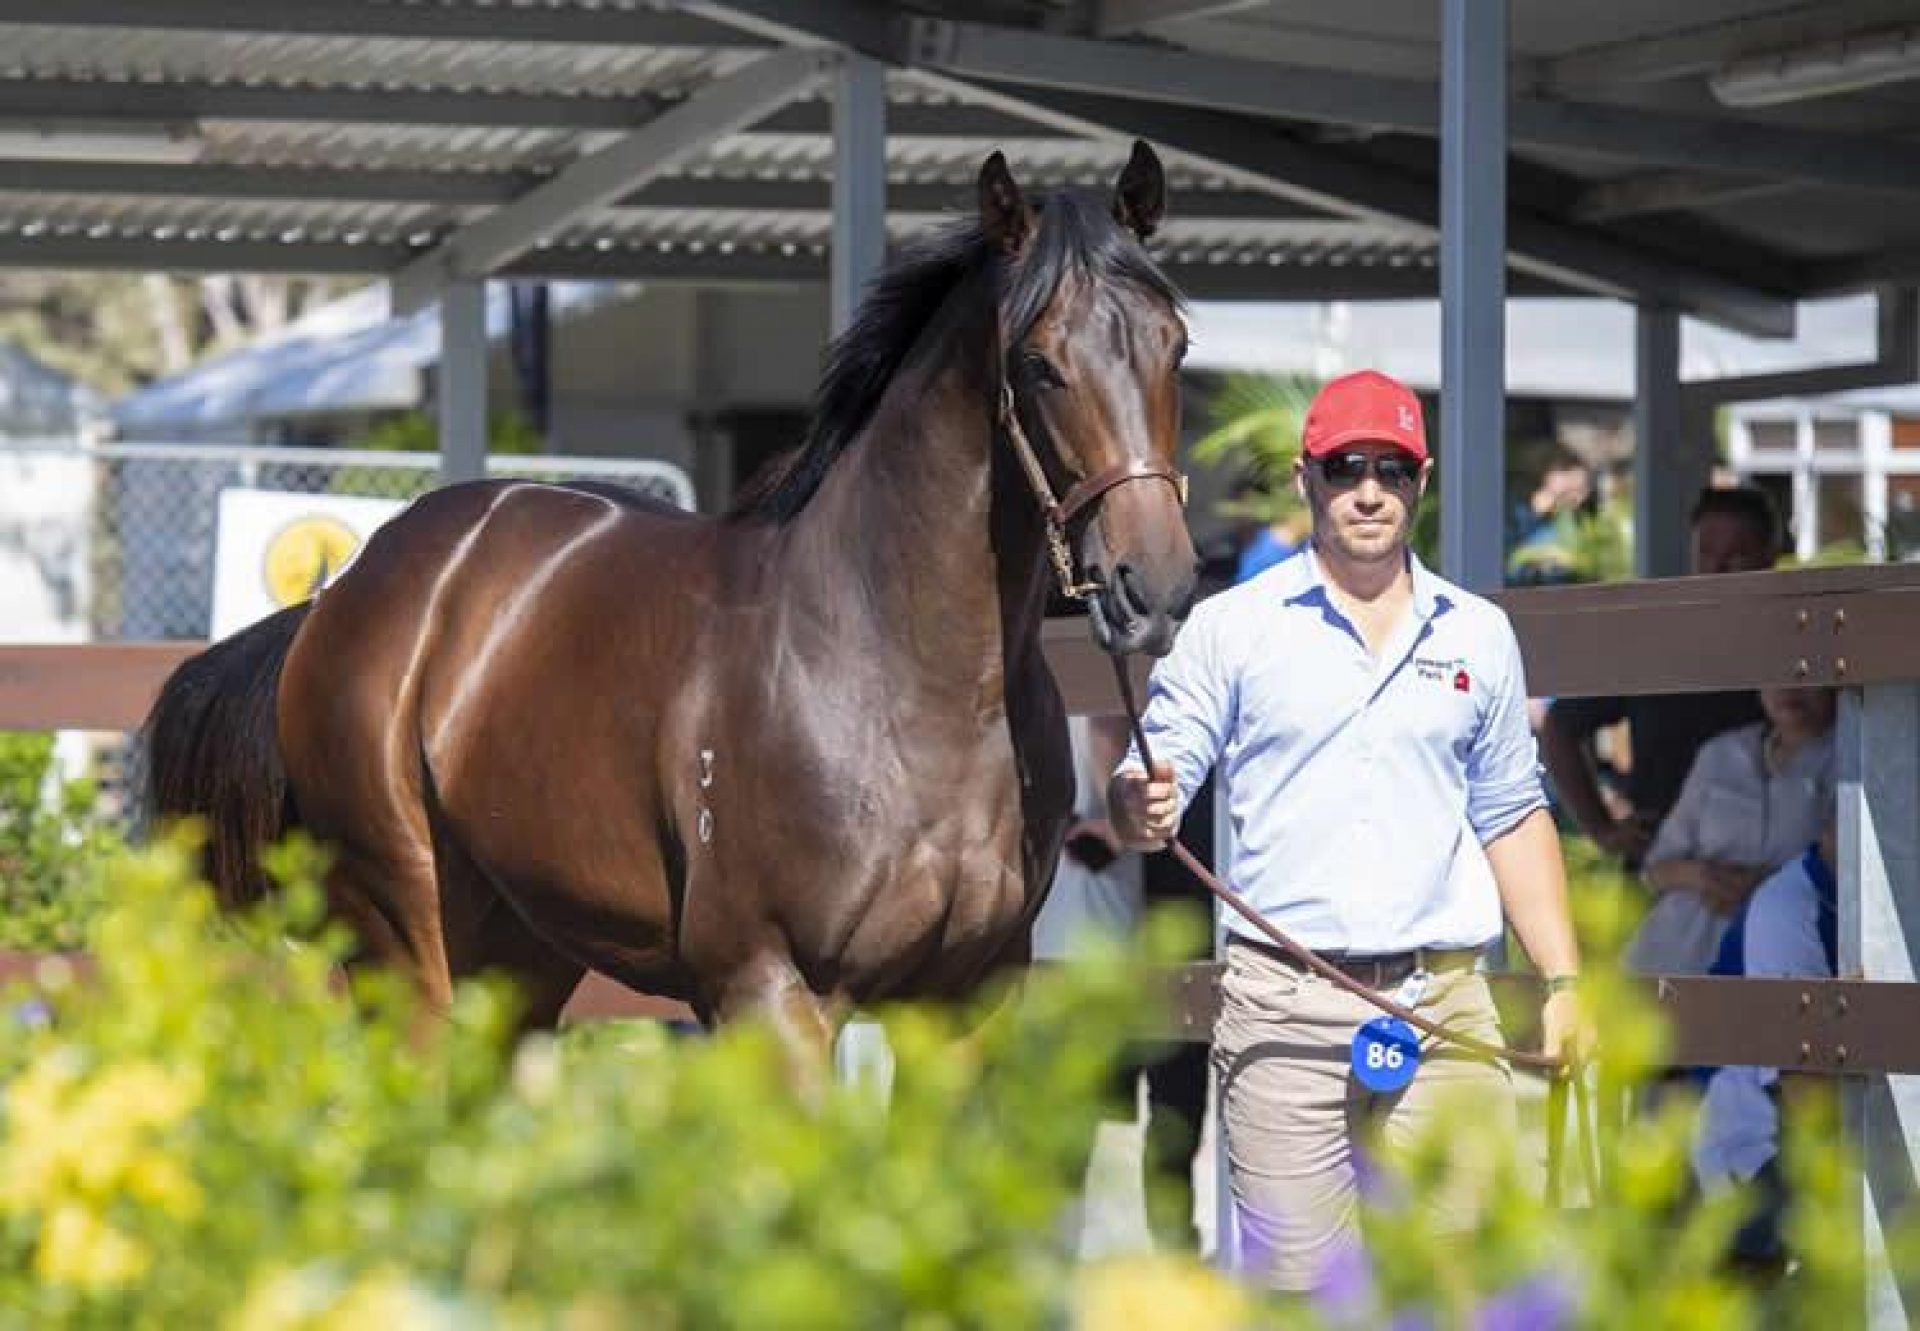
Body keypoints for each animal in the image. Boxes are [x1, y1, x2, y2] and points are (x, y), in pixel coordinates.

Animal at [145, 143, 1198, 1083]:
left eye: (1175, 345)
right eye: (1040, 361)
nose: (1153, 583)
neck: (900, 678)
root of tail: (345, 594)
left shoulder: (966, 1001)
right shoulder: (772, 992)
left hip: (520, 959)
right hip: (407, 950)